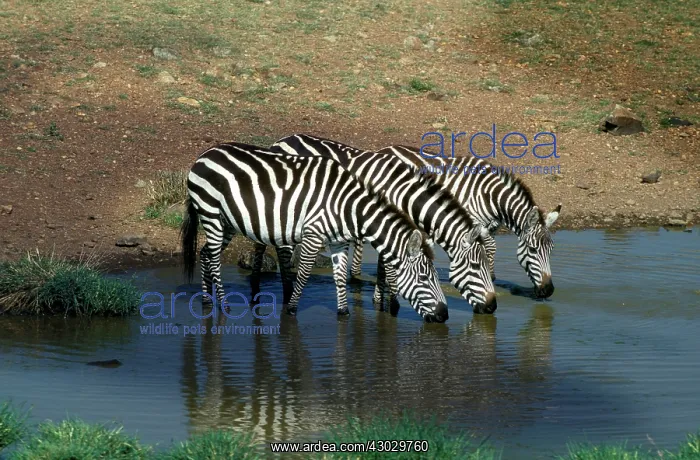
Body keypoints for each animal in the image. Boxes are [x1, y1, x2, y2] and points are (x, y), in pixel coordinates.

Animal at [180, 142, 449, 322]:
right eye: (425, 278)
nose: (444, 315)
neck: (347, 206)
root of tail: (204, 155)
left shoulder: (339, 242)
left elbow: (339, 277)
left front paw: (343, 312)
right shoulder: (313, 235)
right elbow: (303, 275)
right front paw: (290, 310)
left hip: (226, 222)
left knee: (205, 254)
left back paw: (206, 301)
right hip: (211, 213)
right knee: (214, 259)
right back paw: (224, 305)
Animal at [269, 133, 498, 314]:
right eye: (476, 266)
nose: (493, 307)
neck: (402, 194)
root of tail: (282, 140)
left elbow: (383, 266)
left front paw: (379, 300)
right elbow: (389, 267)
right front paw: (392, 305)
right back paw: (285, 293)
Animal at [375, 144, 561, 299]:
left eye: (551, 249)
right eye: (533, 249)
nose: (548, 291)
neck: (489, 196)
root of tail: (385, 149)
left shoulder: (491, 227)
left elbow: (491, 249)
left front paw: (491, 278)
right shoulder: (474, 224)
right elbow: (487, 248)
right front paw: (489, 278)